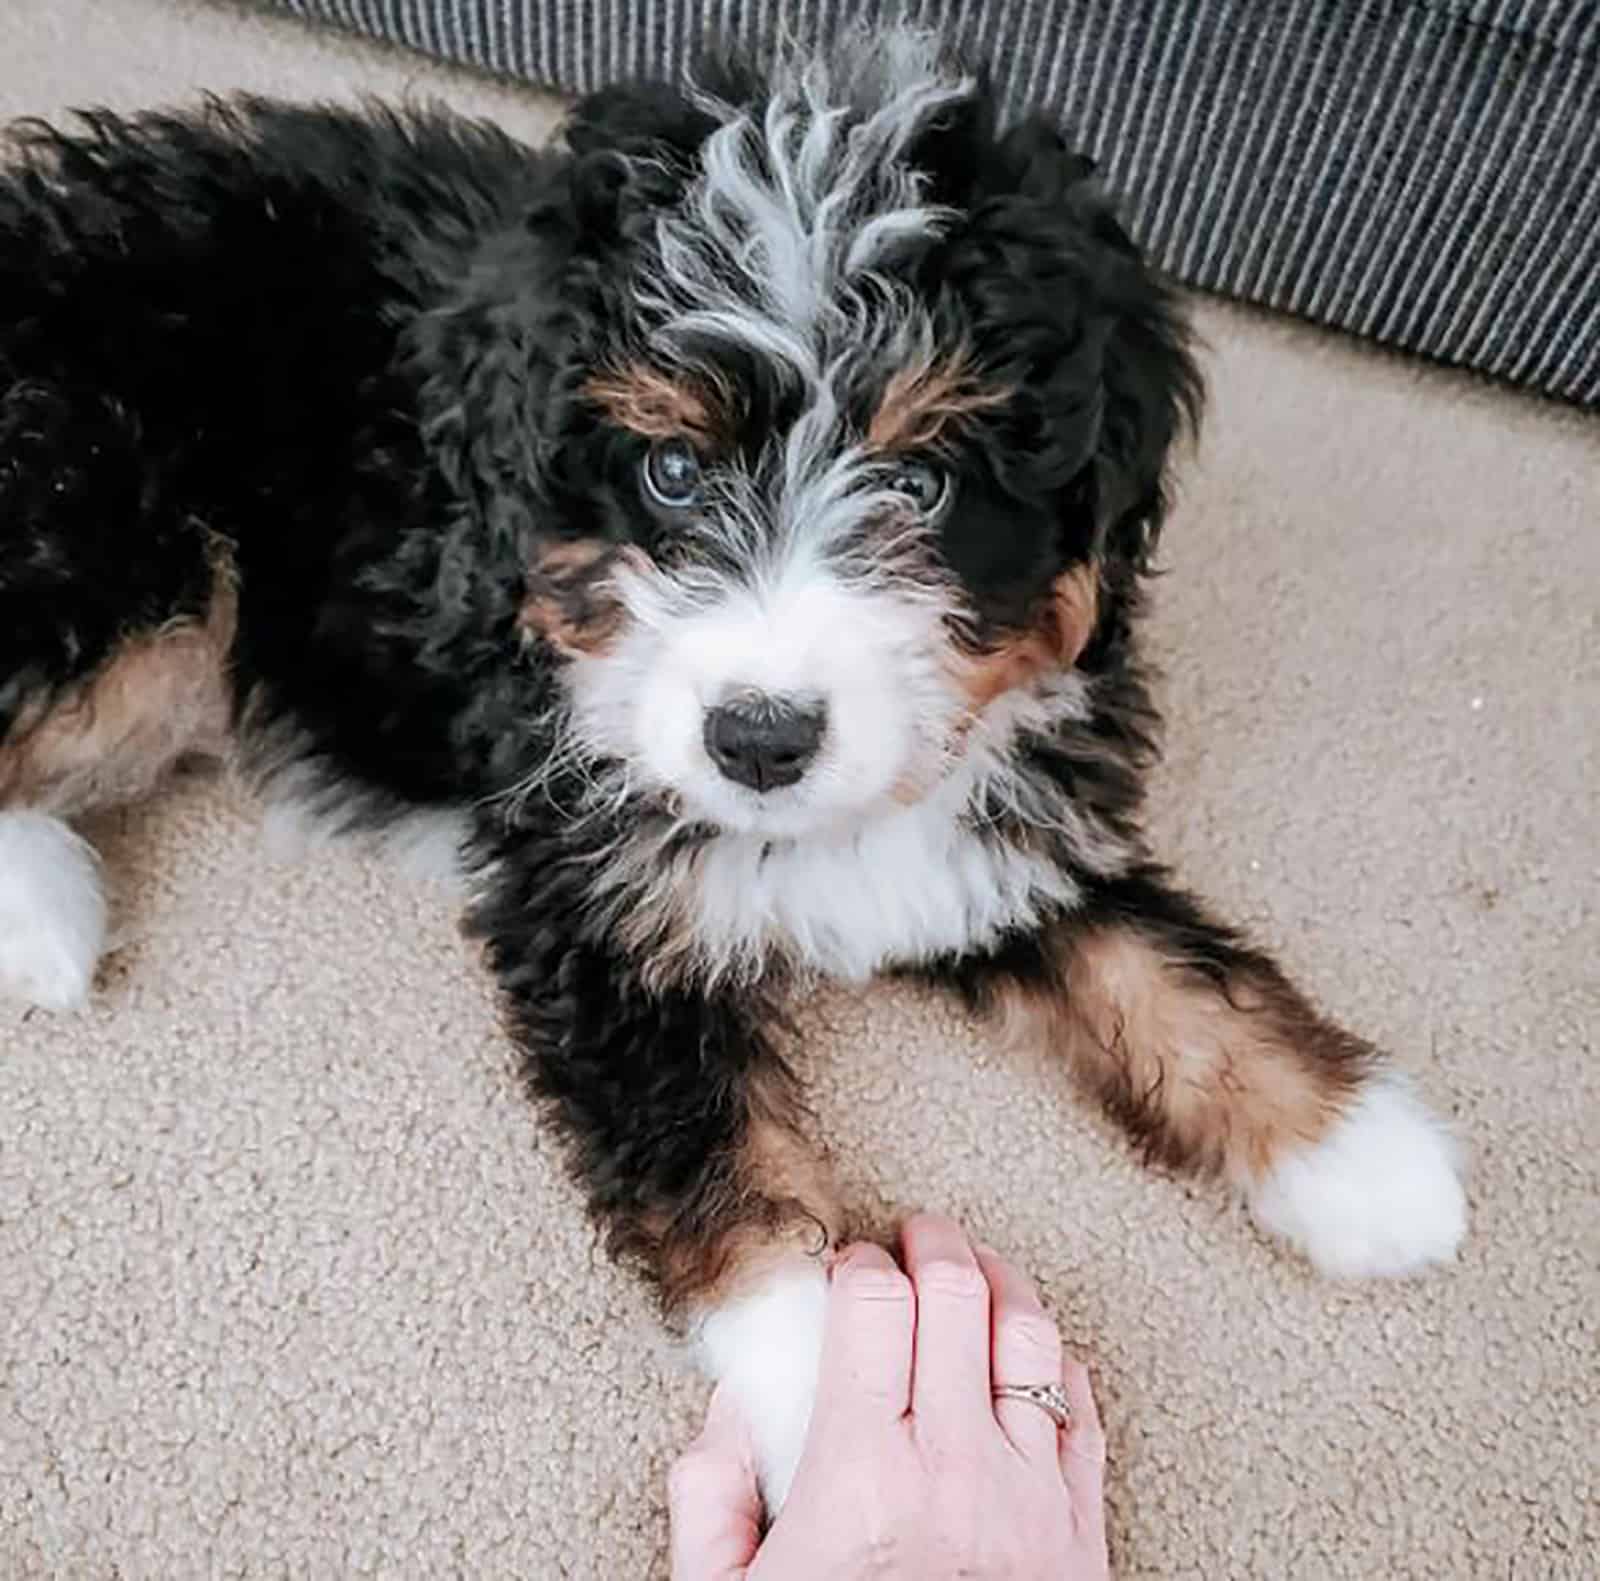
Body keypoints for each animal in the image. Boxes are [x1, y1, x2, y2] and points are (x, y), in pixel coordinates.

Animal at [0, 27, 1465, 1504]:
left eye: (922, 481)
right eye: (669, 470)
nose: (758, 737)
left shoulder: (994, 816)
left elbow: (1164, 967)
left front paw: (1366, 1161)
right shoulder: (591, 903)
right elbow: (723, 1156)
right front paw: (838, 1399)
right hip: (129, 544)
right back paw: (44, 920)